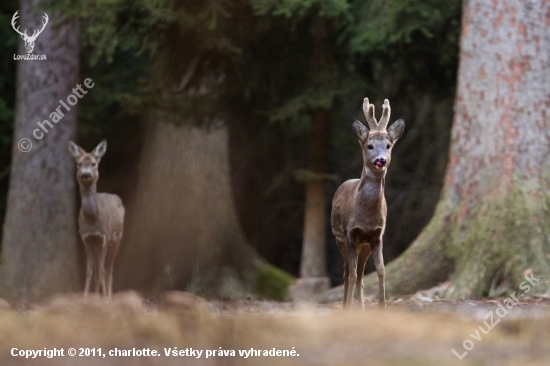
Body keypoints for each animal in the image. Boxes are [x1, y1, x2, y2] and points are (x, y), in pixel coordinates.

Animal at [68, 140, 125, 298]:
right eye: (79, 164)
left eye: (94, 163)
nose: (86, 174)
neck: (93, 222)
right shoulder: (86, 240)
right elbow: (89, 272)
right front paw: (86, 297)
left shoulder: (103, 239)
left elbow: (101, 271)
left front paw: (103, 299)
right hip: (96, 246)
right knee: (98, 271)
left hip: (117, 240)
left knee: (109, 270)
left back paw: (109, 297)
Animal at [332, 97, 406, 308]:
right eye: (369, 145)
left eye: (388, 145)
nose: (381, 160)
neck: (365, 216)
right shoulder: (350, 234)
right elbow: (351, 274)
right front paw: (348, 308)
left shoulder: (376, 235)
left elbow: (381, 270)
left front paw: (382, 307)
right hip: (339, 238)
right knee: (347, 272)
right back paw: (345, 306)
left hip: (363, 246)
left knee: (360, 274)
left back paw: (362, 308)